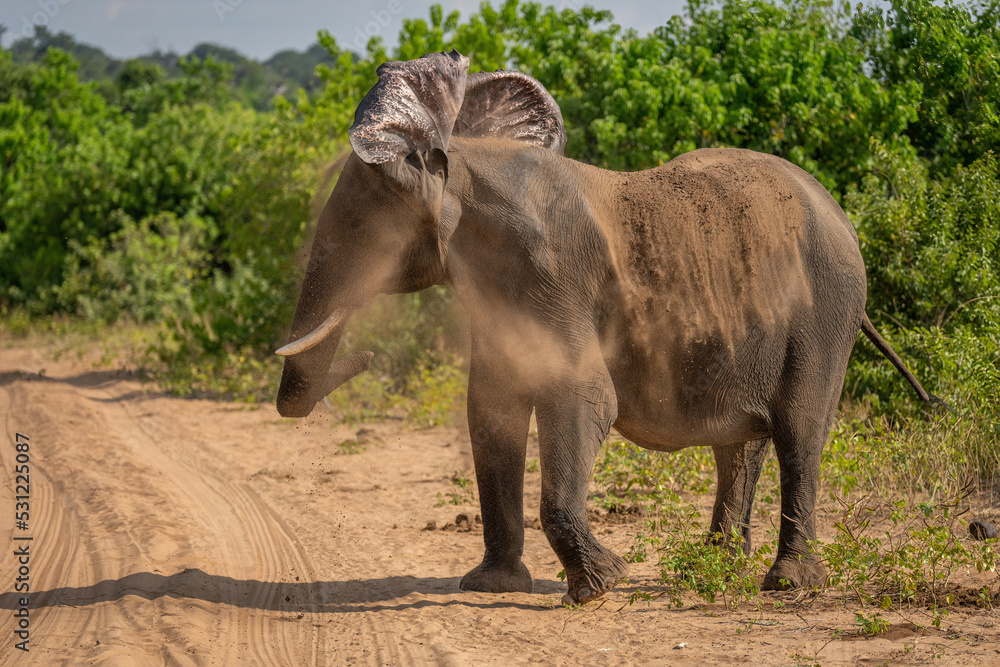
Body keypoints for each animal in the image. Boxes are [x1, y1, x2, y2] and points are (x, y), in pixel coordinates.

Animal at [274, 51, 940, 605]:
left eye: (364, 225)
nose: (362, 357)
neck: (463, 160)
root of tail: (841, 214)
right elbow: (490, 410)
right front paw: (492, 587)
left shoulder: (551, 275)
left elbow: (581, 397)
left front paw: (600, 587)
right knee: (741, 444)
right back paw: (714, 569)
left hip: (827, 312)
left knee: (800, 430)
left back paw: (785, 585)